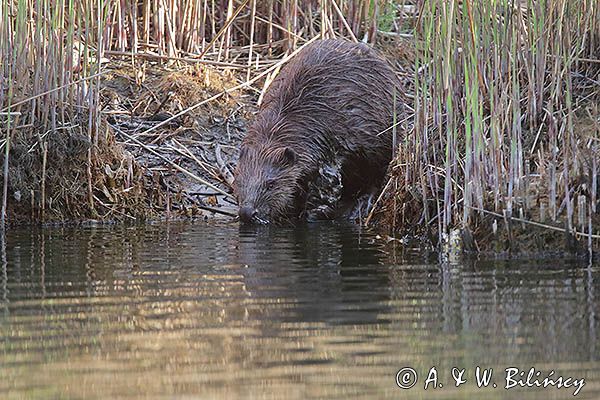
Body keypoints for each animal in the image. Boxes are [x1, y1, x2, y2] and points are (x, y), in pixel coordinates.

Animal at [232, 38, 400, 223]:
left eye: (271, 184)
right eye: (239, 180)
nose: (247, 212)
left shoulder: (329, 146)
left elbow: (328, 183)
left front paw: (313, 213)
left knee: (376, 177)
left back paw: (357, 208)